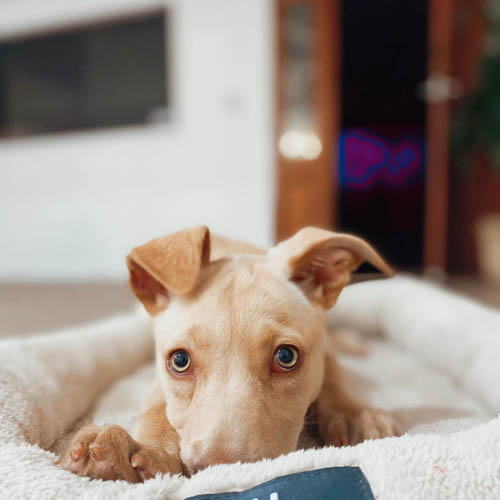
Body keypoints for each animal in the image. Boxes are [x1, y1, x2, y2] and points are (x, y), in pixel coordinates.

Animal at [57, 226, 398, 480]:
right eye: (179, 361)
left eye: (286, 357)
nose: (222, 473)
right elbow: (156, 408)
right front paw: (143, 449)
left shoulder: (321, 349)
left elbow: (332, 372)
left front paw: (352, 413)